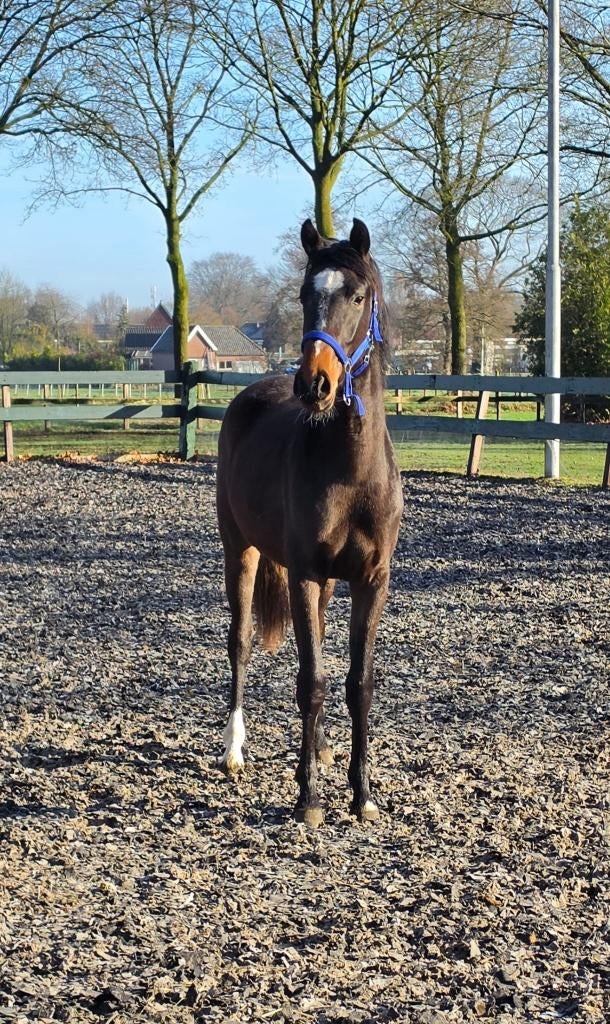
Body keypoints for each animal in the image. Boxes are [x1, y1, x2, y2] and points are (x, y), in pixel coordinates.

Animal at [215, 218, 404, 826]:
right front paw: (310, 798)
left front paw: (362, 794)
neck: (349, 470)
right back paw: (234, 750)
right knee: (241, 642)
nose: (314, 384)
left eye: (358, 295)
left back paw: (319, 747)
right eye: (304, 295)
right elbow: (311, 682)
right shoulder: (303, 575)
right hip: (241, 552)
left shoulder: (371, 581)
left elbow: (357, 683)